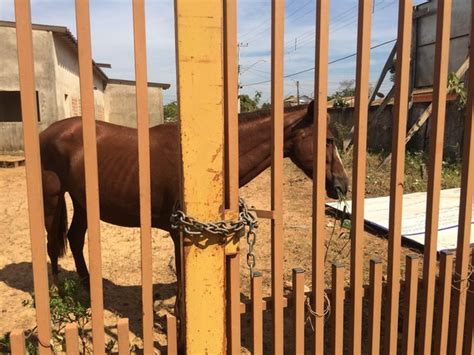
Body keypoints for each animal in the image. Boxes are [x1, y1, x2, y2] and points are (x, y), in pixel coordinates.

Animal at [39, 101, 348, 290]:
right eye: (328, 140)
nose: (342, 185)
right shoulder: (179, 232)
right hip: (52, 198)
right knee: (52, 242)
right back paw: (57, 290)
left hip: (82, 202)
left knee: (74, 238)